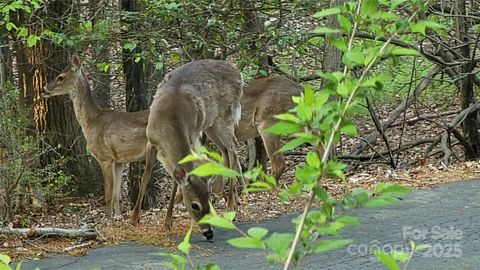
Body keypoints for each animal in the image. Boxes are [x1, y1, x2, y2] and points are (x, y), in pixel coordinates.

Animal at [43, 54, 153, 219]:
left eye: (60, 77)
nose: (44, 89)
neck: (91, 121)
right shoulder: (119, 160)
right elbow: (116, 194)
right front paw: (118, 217)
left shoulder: (105, 157)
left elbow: (108, 195)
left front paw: (108, 220)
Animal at [130, 59, 244, 240]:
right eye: (195, 205)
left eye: (208, 202)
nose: (209, 233)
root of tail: (237, 70)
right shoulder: (151, 140)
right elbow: (145, 176)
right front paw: (135, 218)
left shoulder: (192, 138)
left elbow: (175, 181)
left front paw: (168, 219)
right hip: (211, 124)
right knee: (226, 149)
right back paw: (229, 195)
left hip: (225, 115)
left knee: (232, 148)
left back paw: (231, 205)